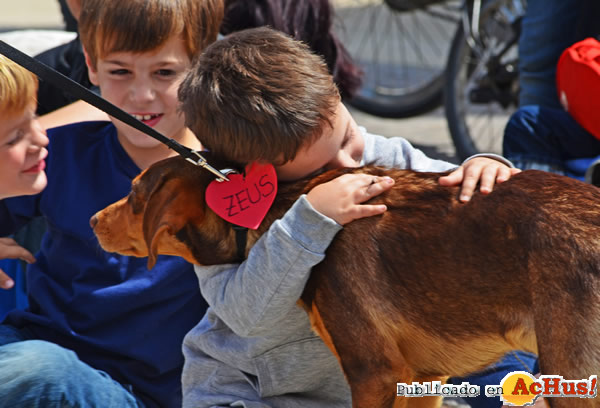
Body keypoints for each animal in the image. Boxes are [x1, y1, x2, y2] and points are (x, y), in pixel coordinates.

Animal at [90, 154, 600, 408]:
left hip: (572, 374)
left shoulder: (374, 374)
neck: (284, 208)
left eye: (133, 196)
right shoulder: (422, 379)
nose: (93, 220)